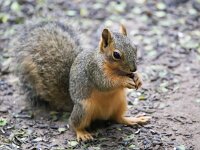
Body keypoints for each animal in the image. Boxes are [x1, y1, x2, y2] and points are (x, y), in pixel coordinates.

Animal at [14, 19, 150, 141]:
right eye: (116, 55)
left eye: (135, 48)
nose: (134, 68)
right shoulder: (94, 70)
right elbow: (105, 83)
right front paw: (124, 81)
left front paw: (138, 78)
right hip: (84, 109)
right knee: (73, 124)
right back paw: (82, 133)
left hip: (120, 103)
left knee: (117, 118)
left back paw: (133, 119)